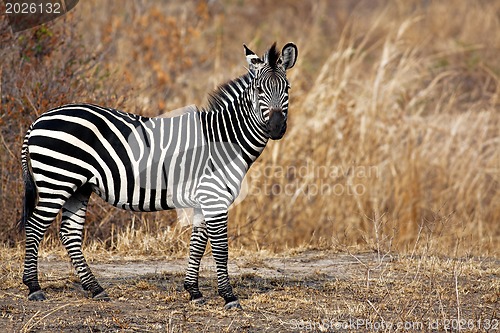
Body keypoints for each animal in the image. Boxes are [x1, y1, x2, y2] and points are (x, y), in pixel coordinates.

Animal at [20, 41, 296, 308]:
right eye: (259, 90)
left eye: (287, 89)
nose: (276, 128)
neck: (224, 139)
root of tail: (38, 120)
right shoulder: (214, 198)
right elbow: (220, 248)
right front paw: (229, 297)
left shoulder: (203, 200)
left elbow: (198, 245)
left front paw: (194, 292)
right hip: (57, 180)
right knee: (34, 226)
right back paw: (34, 287)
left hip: (78, 186)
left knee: (70, 233)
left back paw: (95, 289)